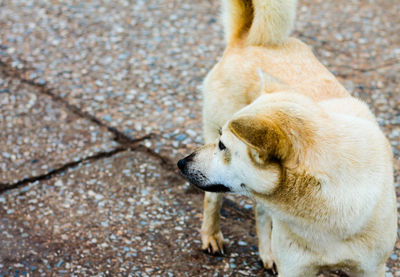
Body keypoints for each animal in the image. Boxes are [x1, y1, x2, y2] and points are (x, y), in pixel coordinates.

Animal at [177, 1, 396, 274]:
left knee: (260, 212)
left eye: (222, 145)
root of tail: (245, 39)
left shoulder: (371, 268)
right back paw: (213, 236)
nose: (181, 162)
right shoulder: (295, 267)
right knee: (214, 201)